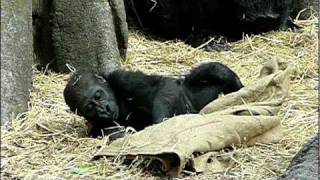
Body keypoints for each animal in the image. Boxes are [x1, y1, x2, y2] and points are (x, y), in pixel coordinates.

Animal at [63, 61, 242, 136]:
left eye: (98, 95)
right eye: (89, 108)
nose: (104, 110)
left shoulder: (122, 78)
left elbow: (162, 86)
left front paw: (160, 125)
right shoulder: (95, 127)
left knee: (212, 71)